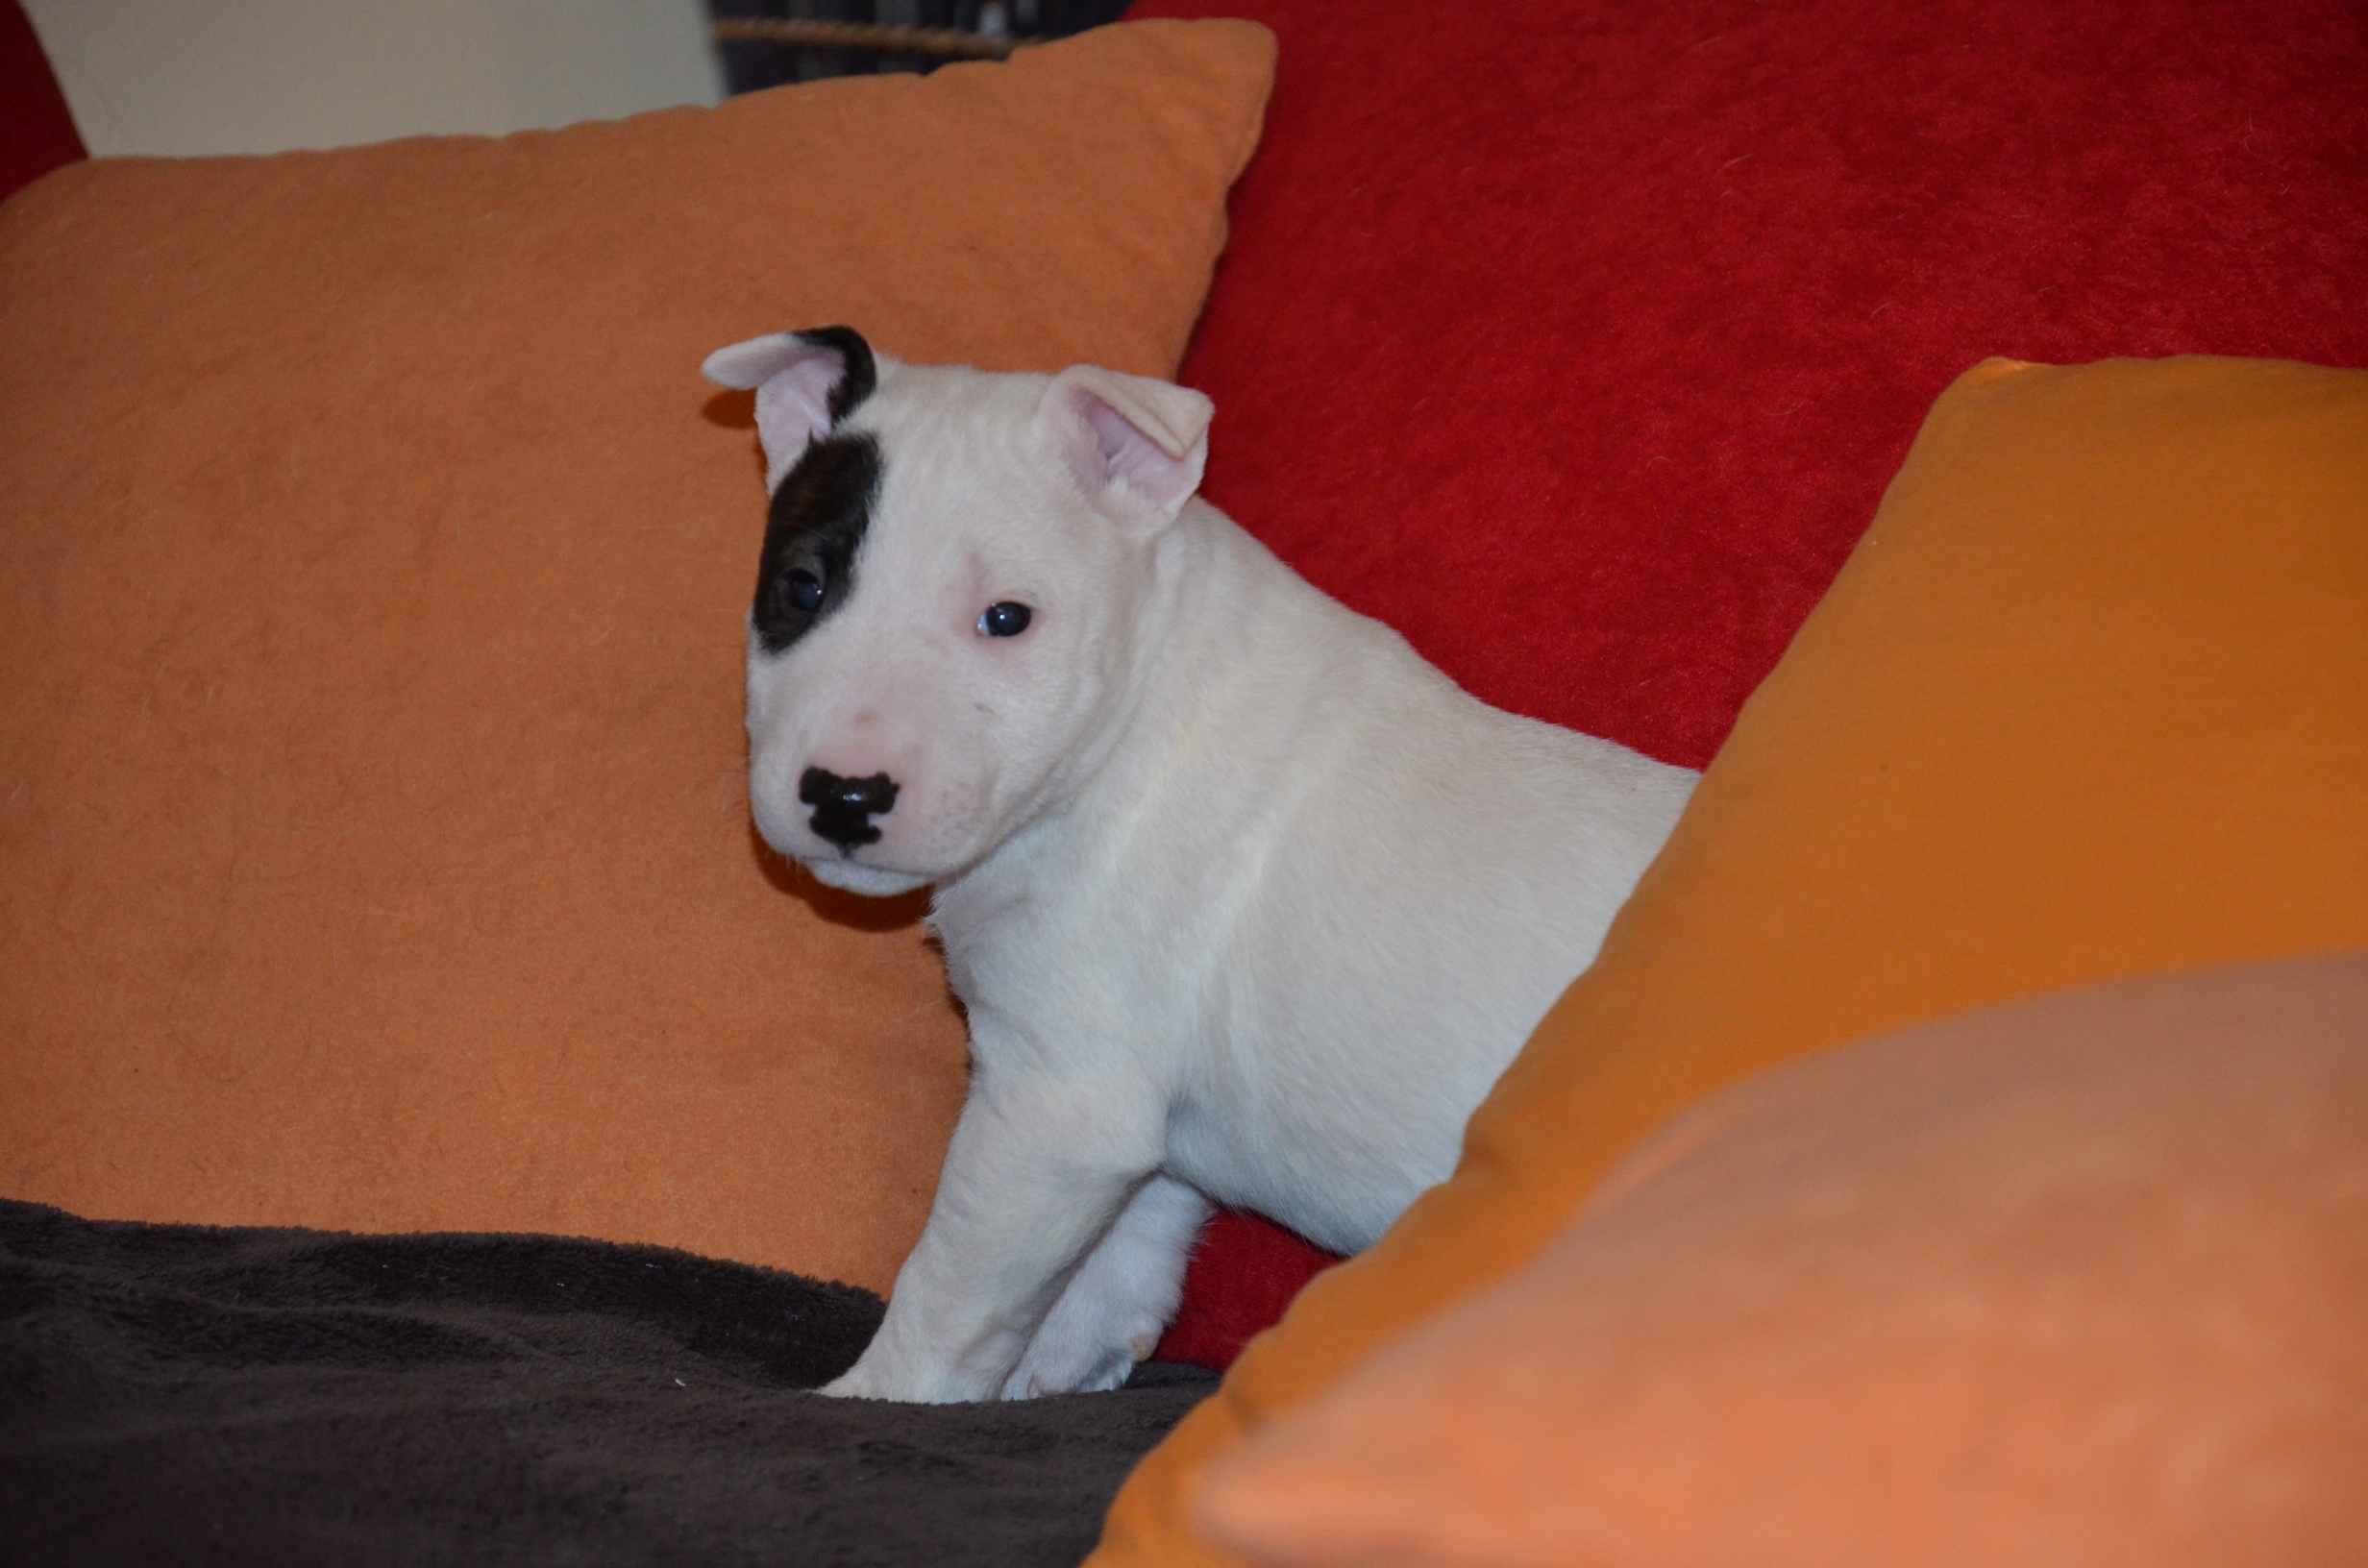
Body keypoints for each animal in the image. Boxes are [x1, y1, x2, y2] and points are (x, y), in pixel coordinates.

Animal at [702, 327, 1697, 1402]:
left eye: (1007, 618)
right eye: (799, 588)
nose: (843, 796)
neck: (1139, 716)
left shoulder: (1054, 1106)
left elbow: (954, 1285)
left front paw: (876, 1395)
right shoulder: (1145, 1122)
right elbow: (1121, 1253)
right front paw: (1057, 1369)